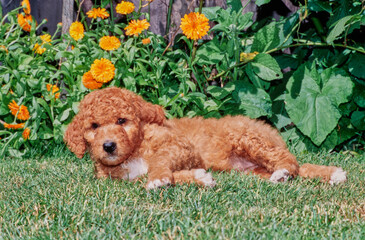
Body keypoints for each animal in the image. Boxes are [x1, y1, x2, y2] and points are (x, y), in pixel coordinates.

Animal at [63, 87, 346, 188]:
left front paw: (158, 178)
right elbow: (175, 174)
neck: (133, 151)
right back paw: (331, 174)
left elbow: (159, 162)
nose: (108, 146)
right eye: (94, 126)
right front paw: (199, 177)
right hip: (248, 169)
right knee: (299, 168)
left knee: (290, 160)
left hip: (250, 140)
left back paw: (285, 171)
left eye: (122, 121)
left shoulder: (178, 145)